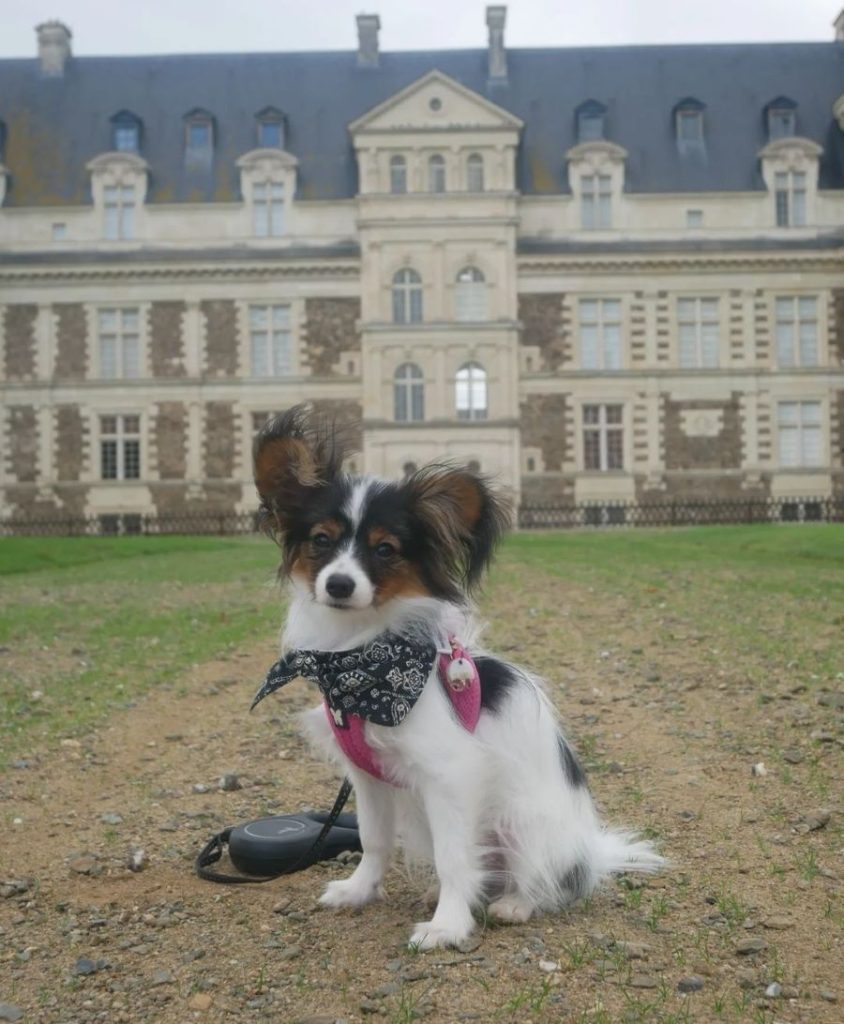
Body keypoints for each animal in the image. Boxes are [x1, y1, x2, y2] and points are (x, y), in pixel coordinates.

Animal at [254, 403, 663, 946]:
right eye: (321, 541)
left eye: (384, 550)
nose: (339, 584)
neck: (359, 662)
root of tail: (589, 853)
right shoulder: (368, 778)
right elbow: (374, 840)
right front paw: (360, 891)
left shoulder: (450, 776)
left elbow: (454, 859)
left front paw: (447, 925)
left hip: (522, 820)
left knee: (539, 879)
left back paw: (514, 903)